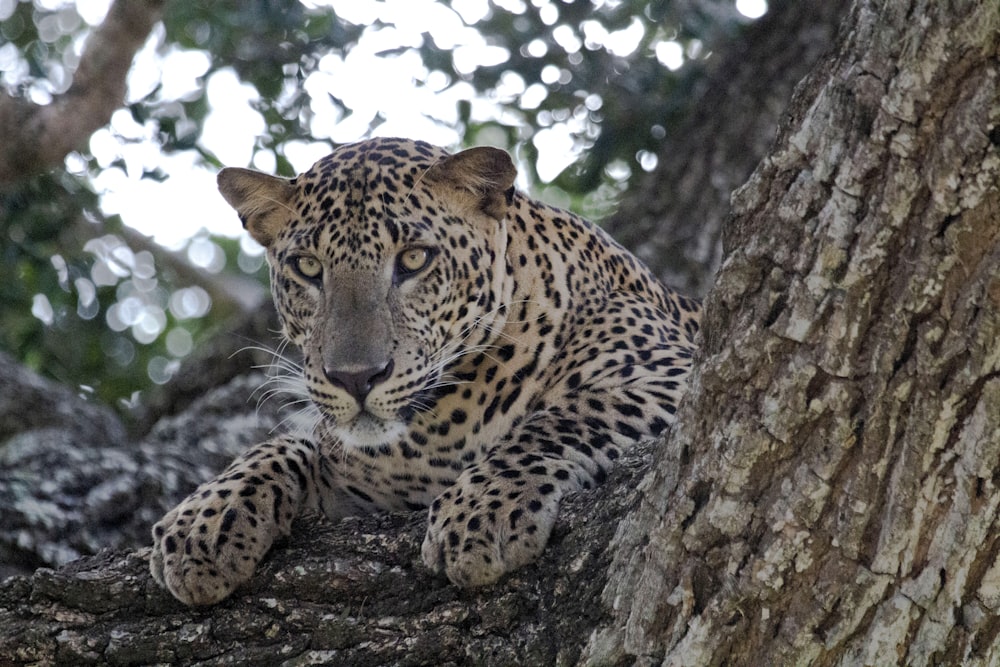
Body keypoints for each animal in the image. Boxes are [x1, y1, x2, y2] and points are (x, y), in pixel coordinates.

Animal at [150, 136, 704, 604]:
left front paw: (482, 511)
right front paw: (201, 523)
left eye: (414, 259)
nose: (356, 378)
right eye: (307, 268)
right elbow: (288, 444)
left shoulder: (675, 374)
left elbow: (569, 416)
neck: (444, 424)